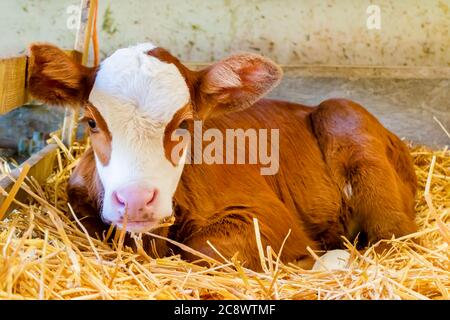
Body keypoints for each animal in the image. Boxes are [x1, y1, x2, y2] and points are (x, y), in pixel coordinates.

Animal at [28, 42, 416, 270]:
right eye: (91, 122)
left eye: (185, 123)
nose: (136, 199)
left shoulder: (271, 219)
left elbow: (201, 249)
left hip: (345, 119)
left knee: (396, 239)